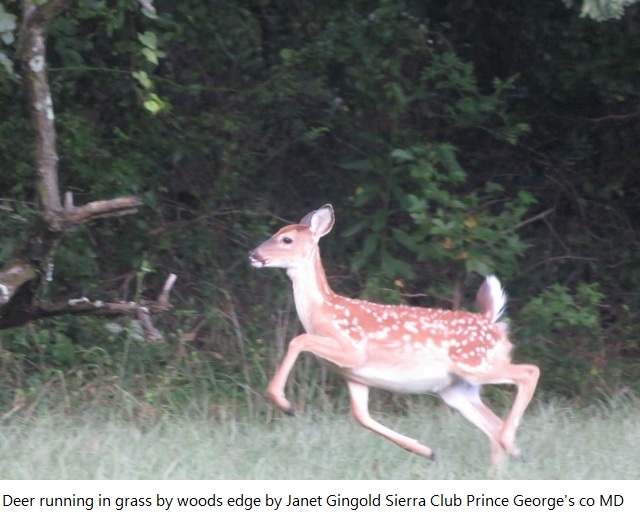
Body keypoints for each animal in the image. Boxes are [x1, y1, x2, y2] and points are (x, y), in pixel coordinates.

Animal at [248, 204, 539, 465]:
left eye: (286, 239)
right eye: (276, 232)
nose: (253, 254)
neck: (322, 311)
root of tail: (490, 320)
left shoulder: (352, 350)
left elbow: (298, 340)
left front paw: (284, 404)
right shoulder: (354, 374)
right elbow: (360, 416)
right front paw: (426, 451)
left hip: (476, 364)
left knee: (529, 372)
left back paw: (511, 444)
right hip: (457, 387)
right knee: (493, 425)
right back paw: (504, 459)